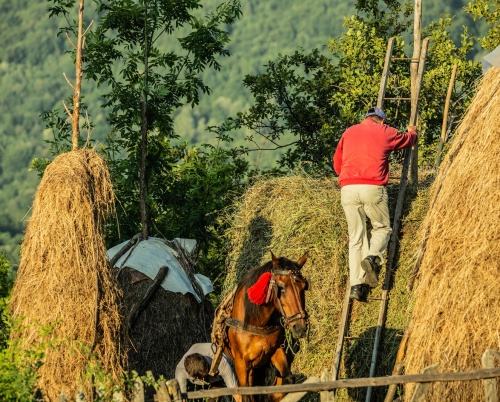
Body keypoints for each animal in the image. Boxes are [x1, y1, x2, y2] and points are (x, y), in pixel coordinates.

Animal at [224, 253, 308, 400]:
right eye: (281, 287)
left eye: (304, 286)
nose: (300, 328)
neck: (256, 323)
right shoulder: (241, 364)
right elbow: (246, 395)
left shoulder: (275, 351)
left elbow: (287, 379)